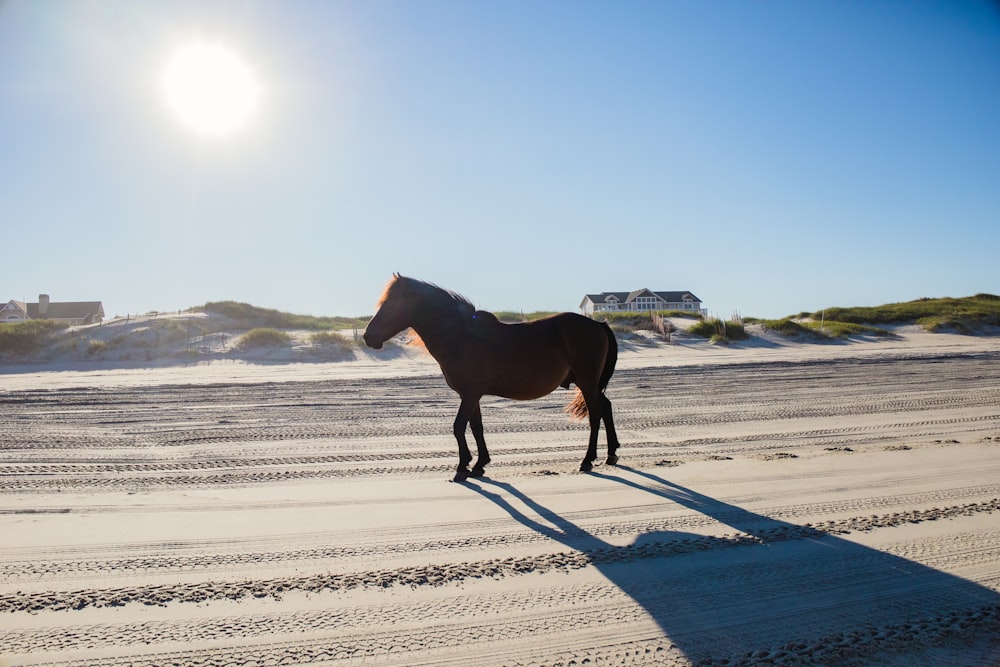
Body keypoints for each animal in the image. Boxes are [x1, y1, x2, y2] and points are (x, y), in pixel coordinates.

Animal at [364, 274, 620, 482]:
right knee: (606, 407)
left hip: (587, 381)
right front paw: (479, 464)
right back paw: (611, 454)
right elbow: (476, 427)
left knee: (595, 415)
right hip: (589, 383)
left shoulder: (470, 393)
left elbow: (459, 426)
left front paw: (461, 468)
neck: (462, 337)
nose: (368, 336)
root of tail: (598, 324)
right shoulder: (470, 395)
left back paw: (587, 460)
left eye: (390, 304)